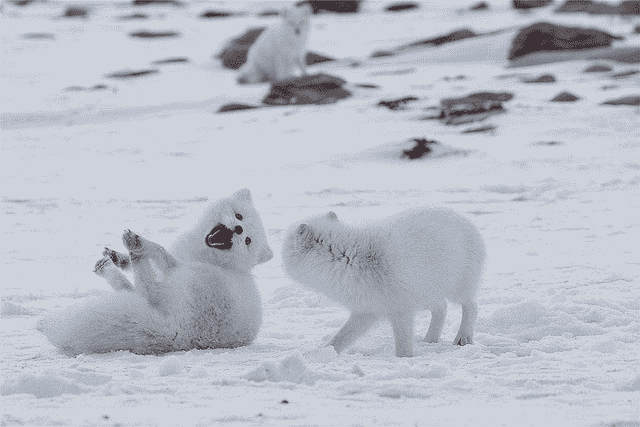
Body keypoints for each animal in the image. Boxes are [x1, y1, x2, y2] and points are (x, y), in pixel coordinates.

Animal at [37, 189, 272, 356]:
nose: (238, 230)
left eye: (248, 241)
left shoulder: (177, 264)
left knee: (146, 288)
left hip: (188, 278)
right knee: (135, 290)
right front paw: (120, 258)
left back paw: (134, 247)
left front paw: (137, 248)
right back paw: (113, 263)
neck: (207, 256)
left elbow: (161, 252)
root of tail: (179, 335)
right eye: (239, 216)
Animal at [280, 207, 484, 358]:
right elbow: (342, 336)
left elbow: (402, 343)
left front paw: (405, 359)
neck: (348, 258)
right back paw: (429, 340)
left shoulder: (400, 309)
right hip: (427, 292)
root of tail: (466, 219)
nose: (280, 263)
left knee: (472, 307)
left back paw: (463, 338)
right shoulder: (367, 309)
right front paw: (320, 354)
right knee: (442, 309)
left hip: (458, 287)